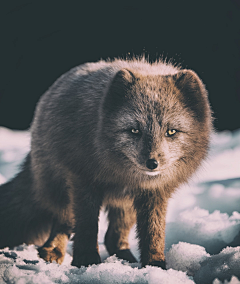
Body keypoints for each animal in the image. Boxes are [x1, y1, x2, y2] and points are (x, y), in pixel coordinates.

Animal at [0, 58, 212, 268]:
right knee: (63, 223)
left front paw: (155, 265)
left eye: (171, 132)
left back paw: (124, 259)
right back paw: (52, 252)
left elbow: (154, 233)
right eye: (134, 130)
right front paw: (87, 260)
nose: (152, 163)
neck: (121, 174)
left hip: (126, 206)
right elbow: (87, 226)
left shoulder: (155, 193)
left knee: (114, 238)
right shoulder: (84, 181)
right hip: (62, 191)